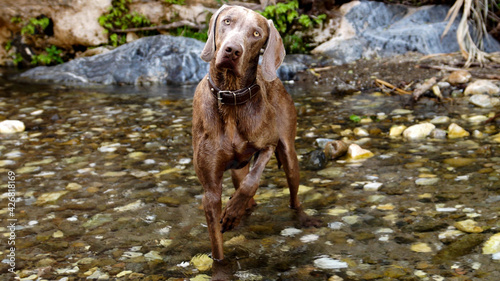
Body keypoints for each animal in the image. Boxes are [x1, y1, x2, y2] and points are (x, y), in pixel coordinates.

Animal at [191, 4, 320, 262]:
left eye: (256, 34)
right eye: (227, 21)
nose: (232, 50)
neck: (231, 96)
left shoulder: (268, 144)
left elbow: (253, 180)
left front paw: (232, 210)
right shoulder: (210, 190)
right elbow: (217, 243)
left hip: (289, 152)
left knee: (293, 196)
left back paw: (301, 217)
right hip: (236, 171)